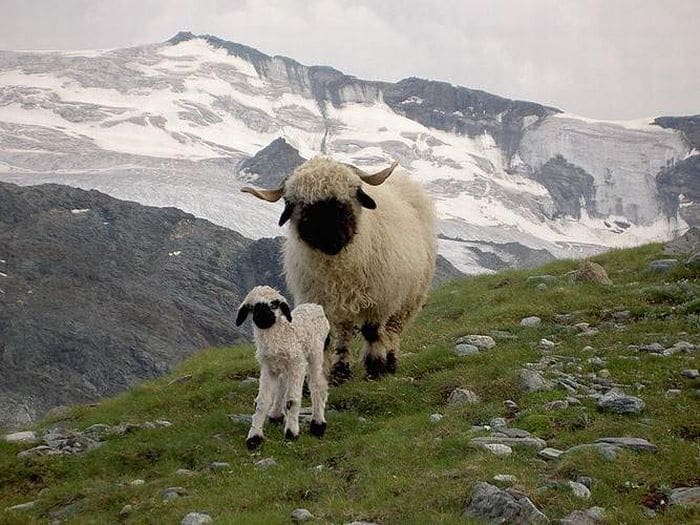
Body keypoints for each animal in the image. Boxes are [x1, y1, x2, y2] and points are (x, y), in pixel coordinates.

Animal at [235, 285, 330, 449]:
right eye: (252, 307)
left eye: (274, 304)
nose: (263, 317)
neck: (281, 335)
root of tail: (315, 306)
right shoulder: (268, 369)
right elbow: (262, 402)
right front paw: (254, 437)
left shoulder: (297, 364)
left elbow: (292, 400)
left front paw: (291, 433)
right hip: (284, 366)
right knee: (282, 385)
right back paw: (276, 414)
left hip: (315, 354)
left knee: (317, 385)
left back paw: (318, 423)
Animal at [241, 157, 436, 384]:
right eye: (298, 205)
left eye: (351, 194)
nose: (332, 241)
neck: (337, 268)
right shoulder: (319, 298)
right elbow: (324, 338)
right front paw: (317, 379)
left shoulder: (379, 298)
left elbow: (372, 332)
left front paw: (375, 369)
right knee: (345, 331)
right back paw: (341, 370)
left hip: (409, 298)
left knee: (392, 330)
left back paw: (390, 361)